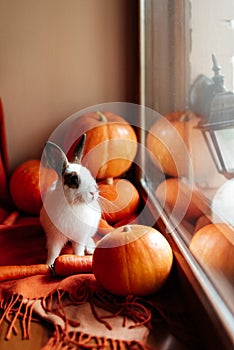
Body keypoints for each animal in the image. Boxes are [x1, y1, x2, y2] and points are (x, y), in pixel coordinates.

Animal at [40, 134, 100, 266]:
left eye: (89, 174)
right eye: (74, 179)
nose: (93, 192)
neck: (72, 205)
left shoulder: (79, 236)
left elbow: (78, 251)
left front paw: (79, 259)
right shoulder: (54, 237)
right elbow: (53, 252)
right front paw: (48, 264)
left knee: (89, 238)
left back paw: (90, 249)